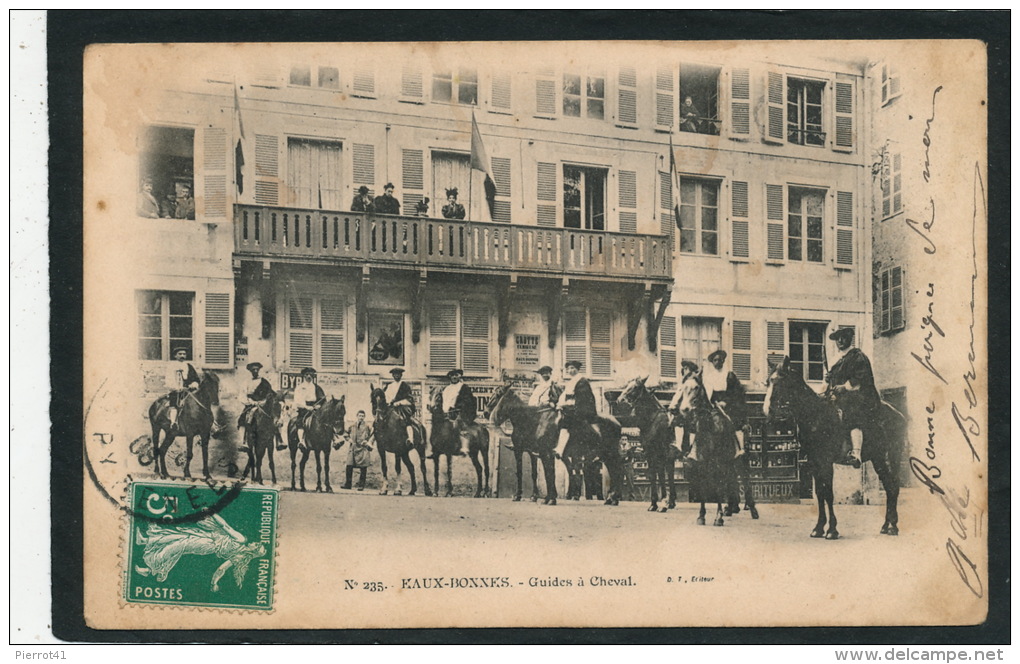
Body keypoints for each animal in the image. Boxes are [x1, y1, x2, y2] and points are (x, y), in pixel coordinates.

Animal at [612, 377, 677, 512]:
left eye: (636, 387)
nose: (620, 400)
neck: (653, 421)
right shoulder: (650, 454)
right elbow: (653, 475)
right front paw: (654, 504)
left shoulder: (660, 454)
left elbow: (660, 476)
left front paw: (663, 501)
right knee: (671, 472)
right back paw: (672, 502)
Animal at [767, 354, 909, 538]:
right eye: (768, 381)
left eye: (781, 380)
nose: (768, 410)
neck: (816, 415)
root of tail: (899, 415)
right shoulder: (814, 463)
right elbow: (820, 494)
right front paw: (818, 528)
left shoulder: (826, 462)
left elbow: (828, 493)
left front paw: (832, 530)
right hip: (878, 459)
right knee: (888, 485)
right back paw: (886, 526)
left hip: (891, 456)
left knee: (893, 486)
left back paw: (892, 527)